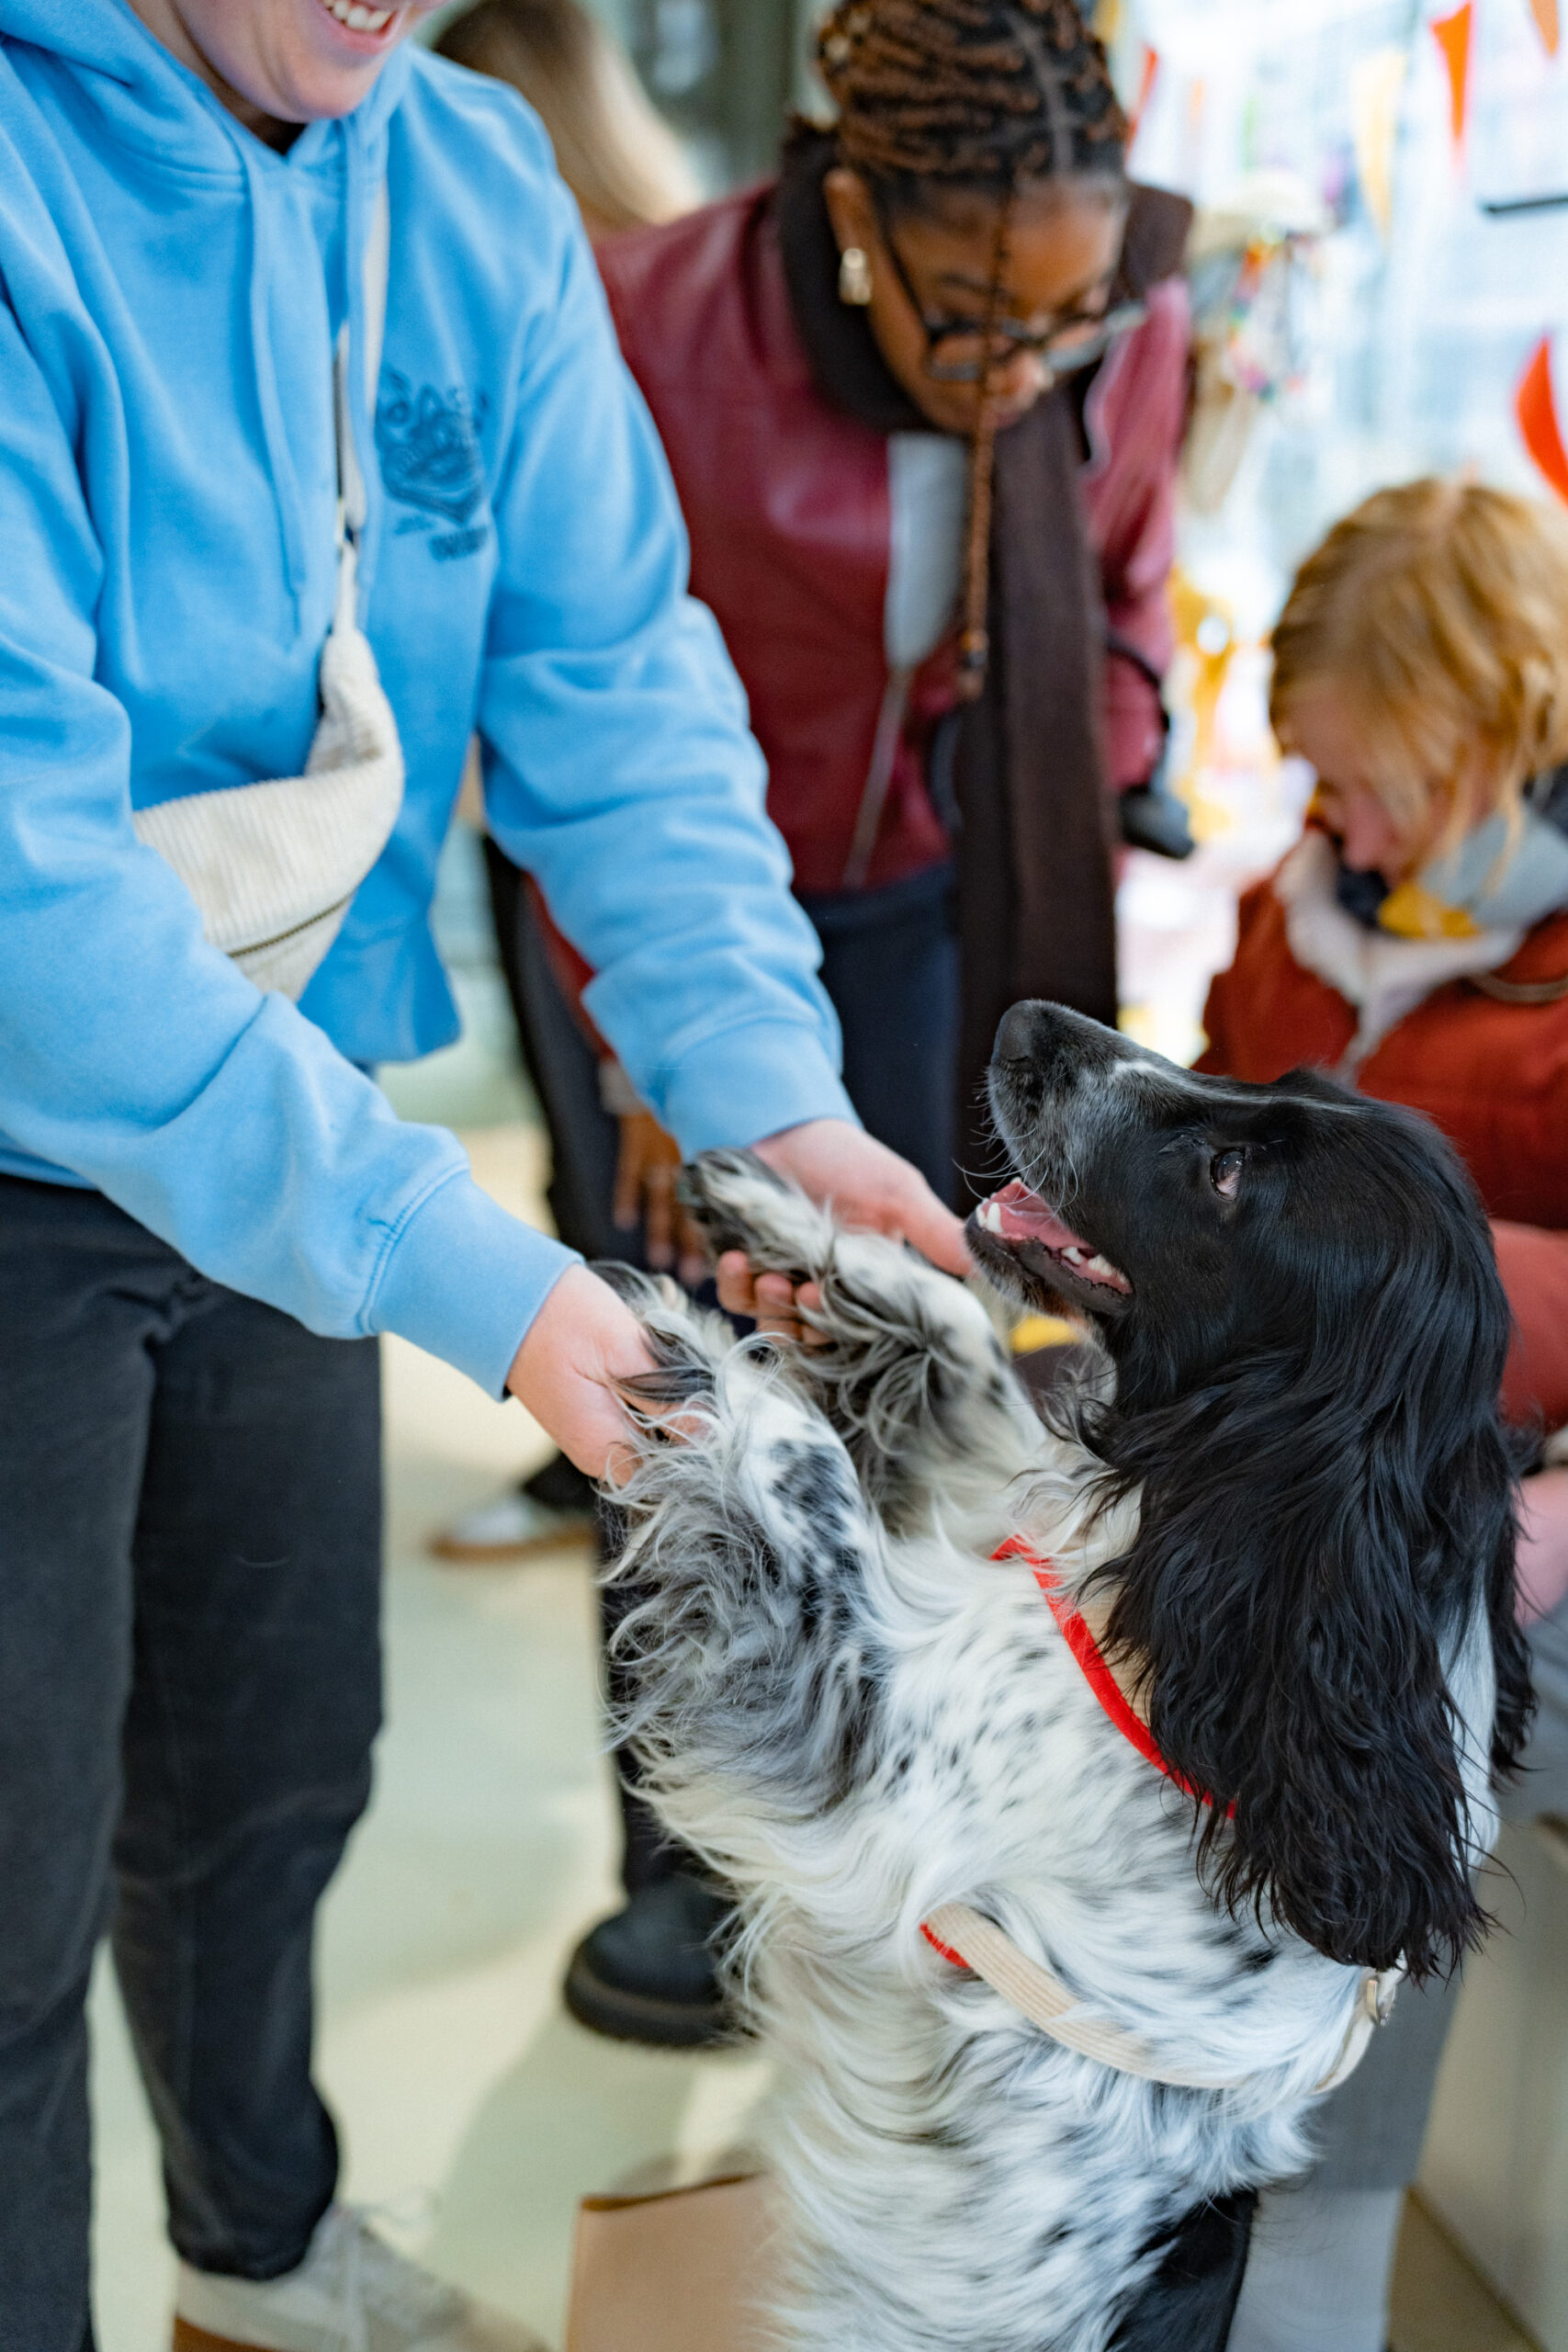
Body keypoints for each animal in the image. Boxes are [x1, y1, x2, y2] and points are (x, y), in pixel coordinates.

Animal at [601, 1002, 1532, 2352]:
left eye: (1229, 1175)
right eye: (1273, 1079)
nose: (1028, 1022)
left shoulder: (869, 1740)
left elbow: (803, 1469)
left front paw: (682, 1348)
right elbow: (963, 1336)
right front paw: (783, 1225)